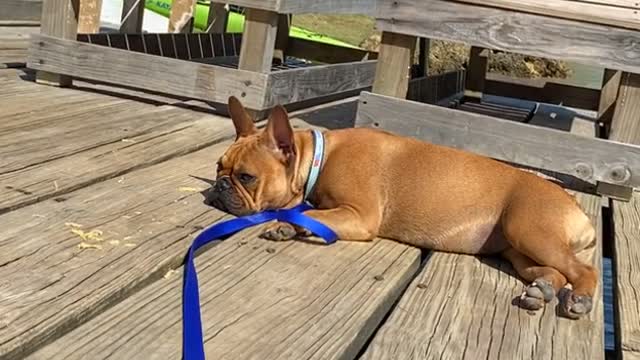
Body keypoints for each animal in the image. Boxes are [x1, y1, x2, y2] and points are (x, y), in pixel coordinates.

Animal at [208, 95, 596, 318]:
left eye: (246, 177)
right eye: (218, 167)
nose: (219, 186)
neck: (319, 157)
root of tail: (578, 211)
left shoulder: (360, 215)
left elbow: (313, 213)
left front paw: (286, 222)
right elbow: (309, 211)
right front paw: (289, 223)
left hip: (528, 229)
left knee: (584, 271)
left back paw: (579, 299)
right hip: (517, 251)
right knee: (558, 271)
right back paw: (542, 290)